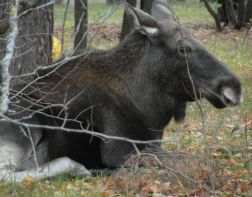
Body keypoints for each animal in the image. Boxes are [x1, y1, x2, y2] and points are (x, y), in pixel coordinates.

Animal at [0, 0, 242, 182]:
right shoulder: (120, 150)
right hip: (26, 123)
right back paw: (84, 169)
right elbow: (187, 162)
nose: (234, 87)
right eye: (183, 48)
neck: (150, 111)